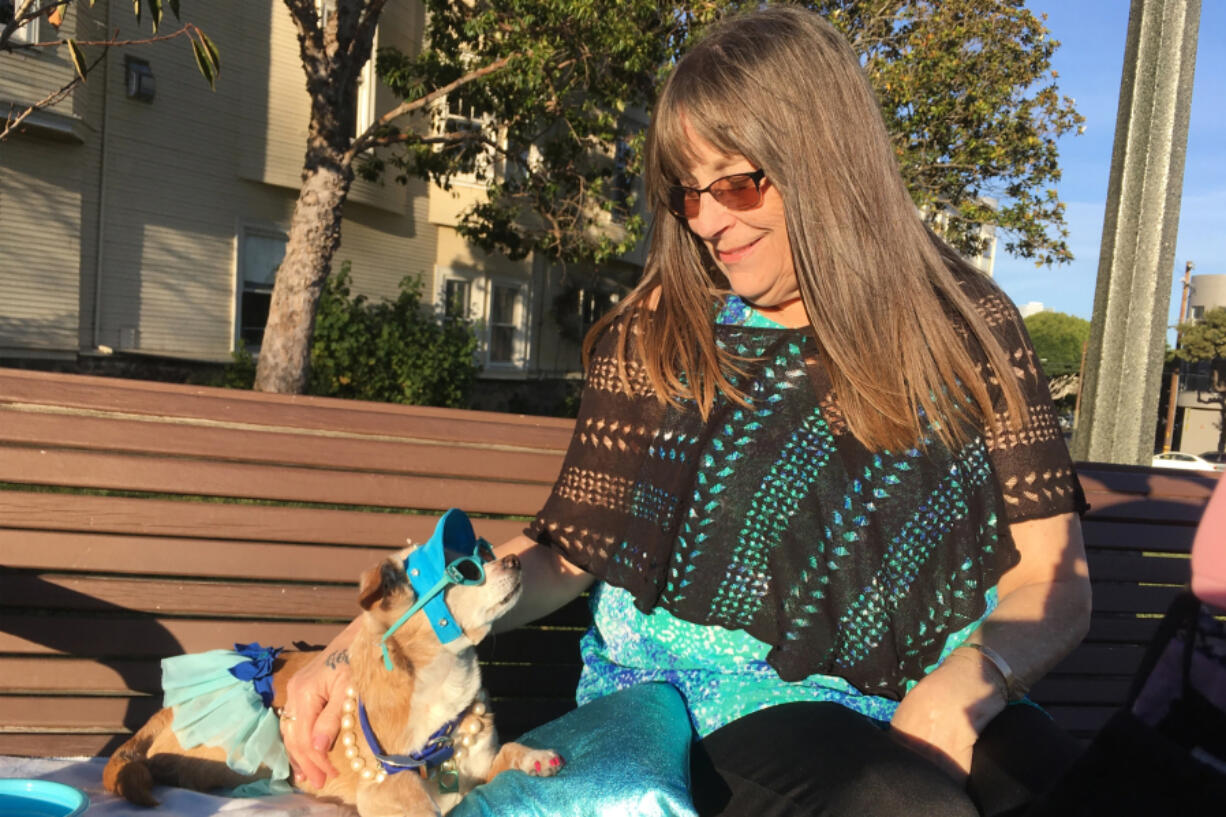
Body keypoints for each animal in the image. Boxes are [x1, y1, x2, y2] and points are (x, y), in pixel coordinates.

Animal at [105, 510, 563, 814]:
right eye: (466, 570)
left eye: (485, 553)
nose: (515, 559)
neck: (440, 680)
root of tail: (167, 712)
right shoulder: (388, 790)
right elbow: (422, 803)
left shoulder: (478, 764)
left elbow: (505, 754)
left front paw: (534, 756)